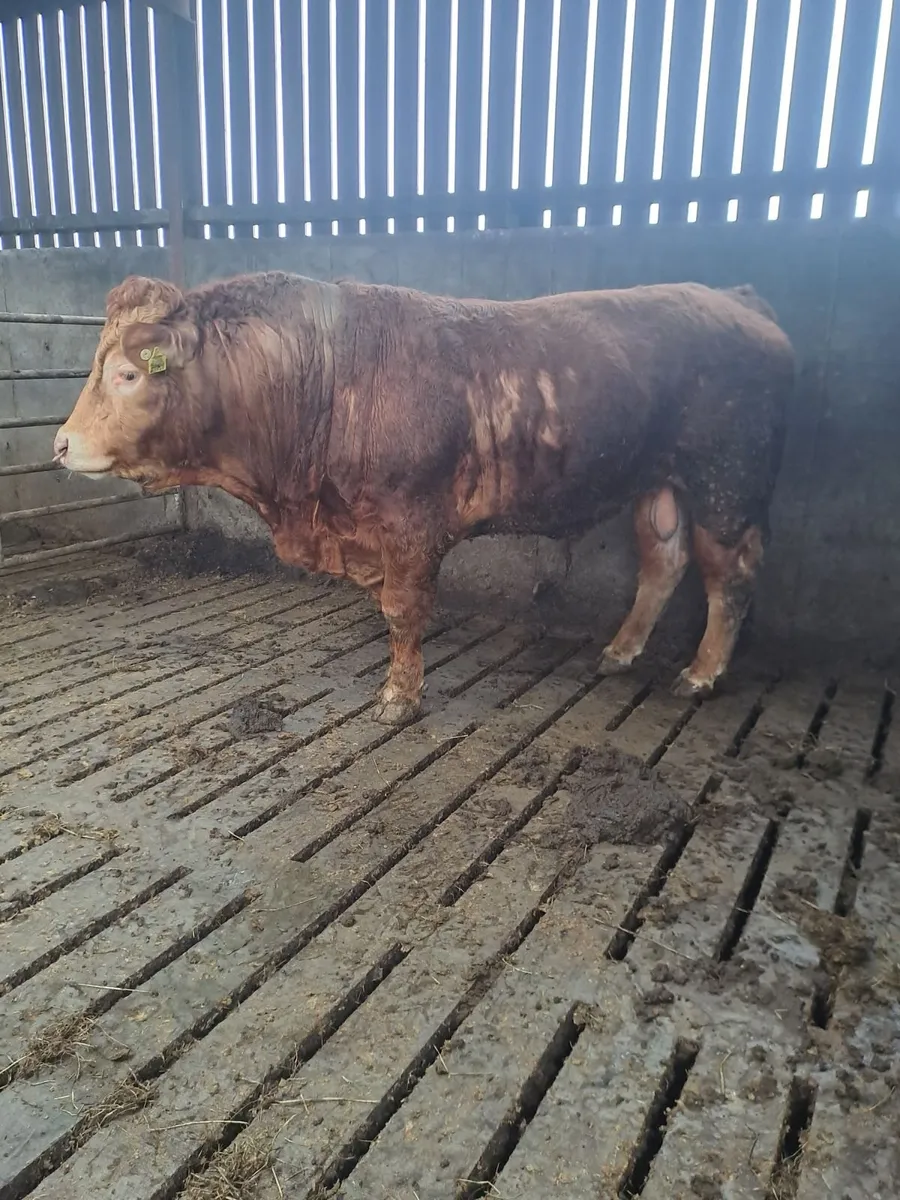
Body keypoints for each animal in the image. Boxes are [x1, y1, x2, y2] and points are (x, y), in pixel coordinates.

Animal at [54, 271, 794, 724]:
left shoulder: (411, 523)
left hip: (728, 485)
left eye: (126, 374)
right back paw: (620, 651)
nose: (60, 444)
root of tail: (738, 298)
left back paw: (701, 673)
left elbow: (403, 612)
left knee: (729, 577)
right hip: (660, 482)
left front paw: (398, 698)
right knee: (663, 561)